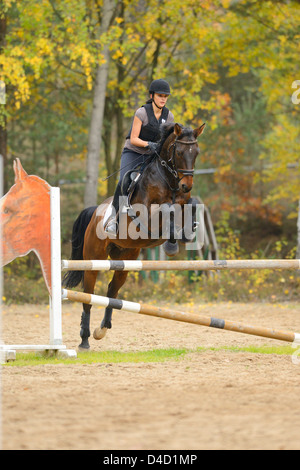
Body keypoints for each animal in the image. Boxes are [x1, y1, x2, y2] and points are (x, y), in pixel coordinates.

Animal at [62, 123, 205, 350]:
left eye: (196, 152)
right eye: (179, 152)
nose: (186, 185)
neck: (169, 181)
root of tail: (94, 213)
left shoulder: (183, 200)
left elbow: (189, 204)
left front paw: (186, 232)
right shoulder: (147, 215)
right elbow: (167, 209)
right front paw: (172, 244)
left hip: (125, 260)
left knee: (112, 292)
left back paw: (102, 330)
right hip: (93, 259)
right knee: (88, 296)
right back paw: (84, 339)